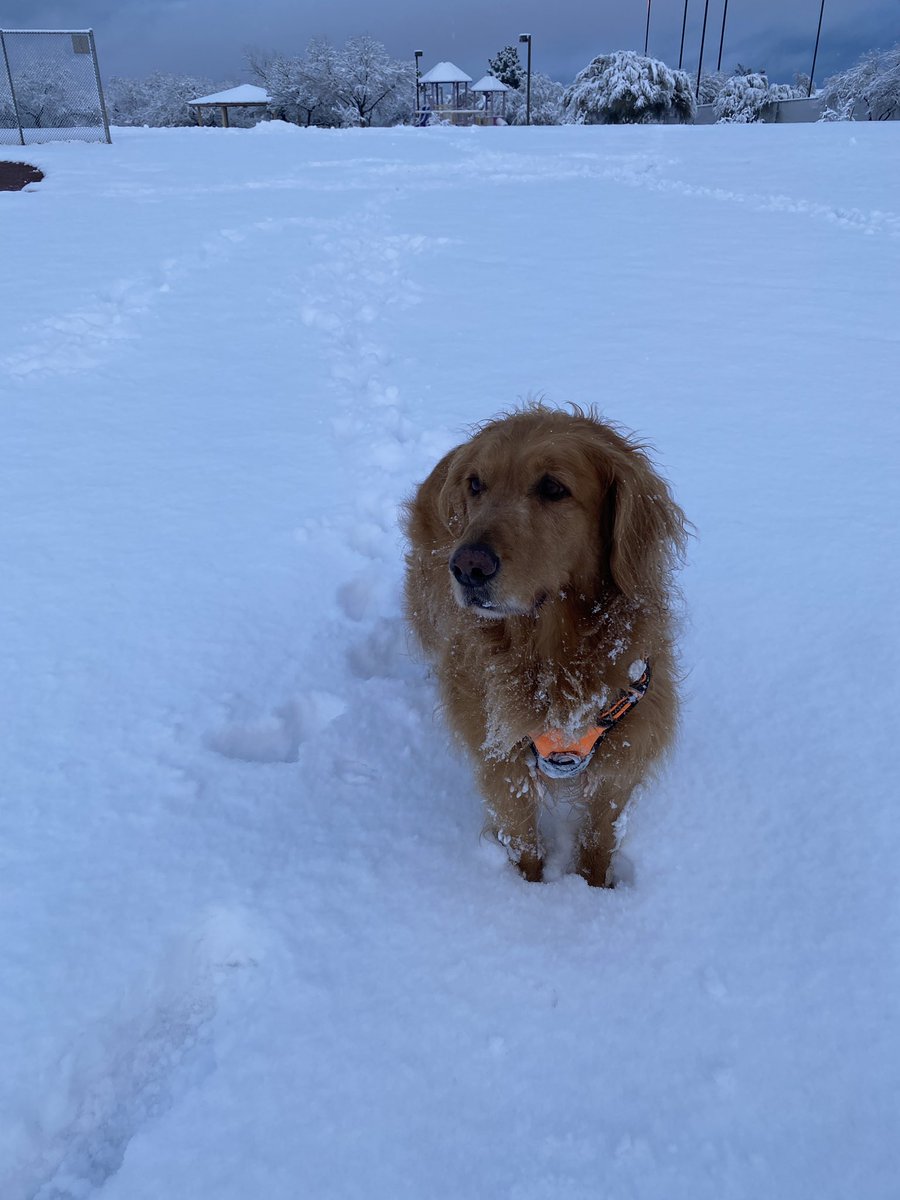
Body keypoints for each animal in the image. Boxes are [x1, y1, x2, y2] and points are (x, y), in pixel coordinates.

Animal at [405, 408, 686, 888]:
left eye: (553, 488)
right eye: (476, 484)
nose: (466, 566)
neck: (553, 656)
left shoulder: (623, 756)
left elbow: (599, 839)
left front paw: (593, 890)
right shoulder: (503, 762)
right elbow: (524, 842)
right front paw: (529, 894)